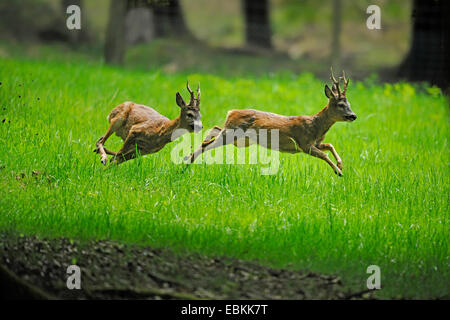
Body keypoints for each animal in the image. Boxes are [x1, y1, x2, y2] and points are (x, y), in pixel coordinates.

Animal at [185, 68, 356, 176]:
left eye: (349, 103)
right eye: (340, 105)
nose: (353, 115)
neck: (316, 127)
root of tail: (231, 111)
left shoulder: (316, 143)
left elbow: (330, 146)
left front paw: (340, 165)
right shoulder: (304, 143)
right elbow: (324, 155)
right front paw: (339, 172)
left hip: (238, 138)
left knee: (214, 128)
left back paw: (188, 158)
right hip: (232, 132)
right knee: (208, 143)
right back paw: (188, 162)